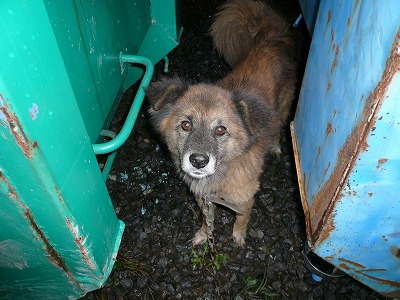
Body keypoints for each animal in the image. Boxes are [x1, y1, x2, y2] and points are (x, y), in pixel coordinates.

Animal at [146, 0, 296, 245]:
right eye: (186, 125)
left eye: (221, 130)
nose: (198, 161)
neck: (224, 171)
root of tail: (270, 35)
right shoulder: (203, 197)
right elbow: (207, 219)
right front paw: (203, 235)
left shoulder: (245, 198)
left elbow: (242, 219)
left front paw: (238, 236)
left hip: (283, 107)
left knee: (279, 127)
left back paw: (274, 146)